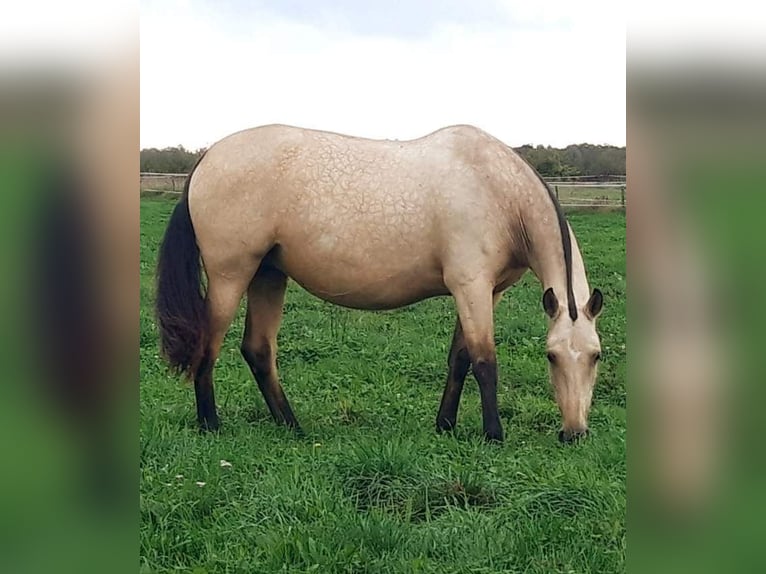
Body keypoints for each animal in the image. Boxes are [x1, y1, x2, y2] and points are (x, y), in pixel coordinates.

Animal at [153, 124, 604, 444]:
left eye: (596, 356)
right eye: (551, 356)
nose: (574, 433)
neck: (498, 190)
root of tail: (207, 157)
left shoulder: (483, 292)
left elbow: (459, 359)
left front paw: (445, 425)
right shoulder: (471, 286)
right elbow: (484, 362)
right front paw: (493, 435)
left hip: (268, 275)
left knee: (258, 351)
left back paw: (292, 427)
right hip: (231, 275)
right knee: (209, 345)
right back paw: (211, 425)